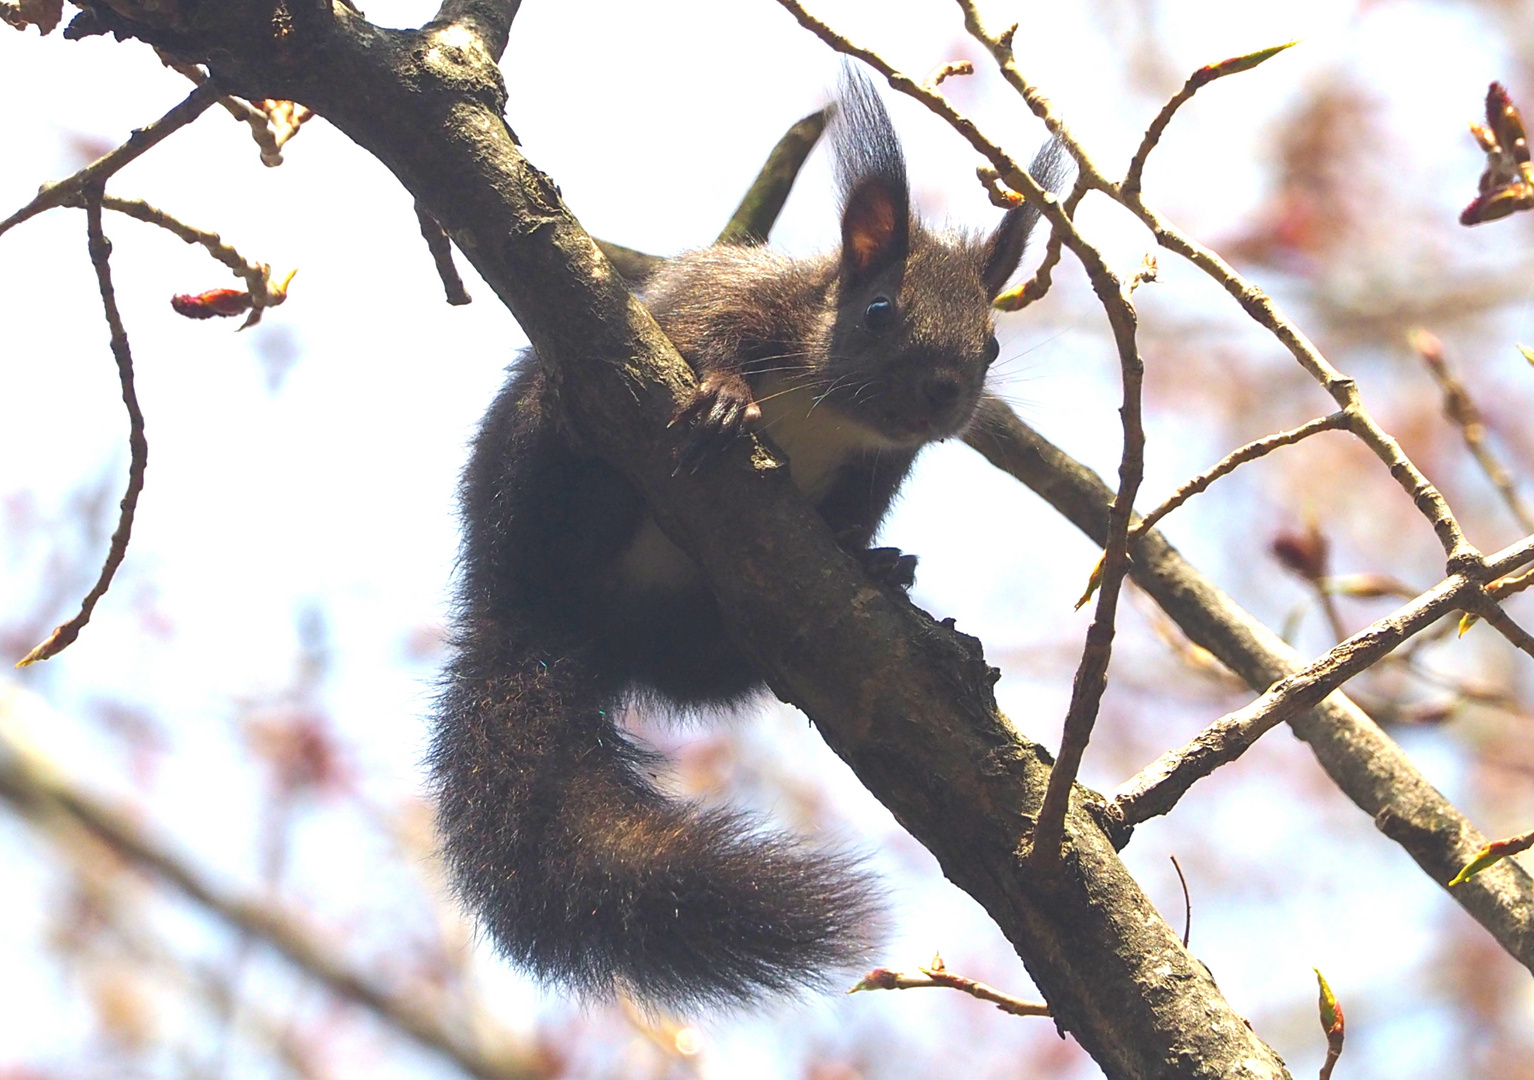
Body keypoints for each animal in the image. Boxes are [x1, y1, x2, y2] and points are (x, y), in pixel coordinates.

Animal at [426, 69, 1061, 1012]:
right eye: (880, 311)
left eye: (989, 344)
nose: (943, 393)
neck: (831, 406)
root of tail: (538, 617)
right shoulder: (725, 305)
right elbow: (701, 342)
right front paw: (726, 395)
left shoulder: (881, 467)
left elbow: (850, 520)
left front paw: (870, 555)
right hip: (536, 472)